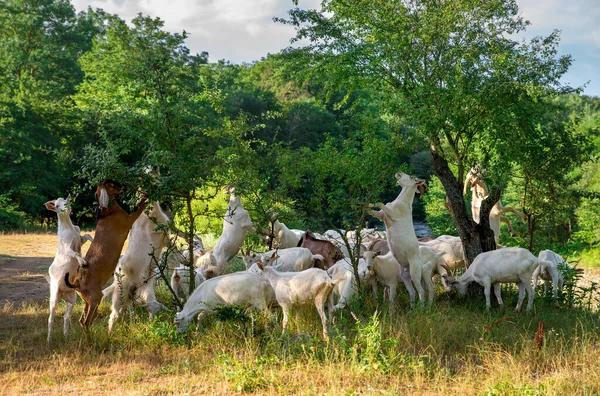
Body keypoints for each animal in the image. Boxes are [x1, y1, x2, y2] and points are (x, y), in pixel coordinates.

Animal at [44, 200, 92, 342]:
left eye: (65, 199)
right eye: (57, 205)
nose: (67, 205)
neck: (68, 228)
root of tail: (62, 294)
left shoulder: (79, 239)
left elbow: (87, 235)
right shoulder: (67, 248)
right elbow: (75, 253)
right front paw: (82, 262)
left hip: (72, 298)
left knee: (66, 316)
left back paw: (66, 336)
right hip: (53, 296)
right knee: (51, 318)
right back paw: (49, 340)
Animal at [63, 181, 149, 330]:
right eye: (112, 184)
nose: (124, 187)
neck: (108, 211)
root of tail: (77, 282)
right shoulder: (128, 220)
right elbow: (138, 208)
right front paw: (145, 198)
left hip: (88, 300)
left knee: (82, 320)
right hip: (96, 298)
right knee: (86, 322)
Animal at [368, 172, 428, 304]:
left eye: (411, 177)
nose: (398, 173)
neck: (403, 201)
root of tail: (421, 265)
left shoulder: (392, 214)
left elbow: (381, 204)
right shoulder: (382, 216)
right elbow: (374, 211)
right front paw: (365, 205)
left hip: (415, 274)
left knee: (421, 292)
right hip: (405, 277)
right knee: (412, 292)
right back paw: (412, 308)